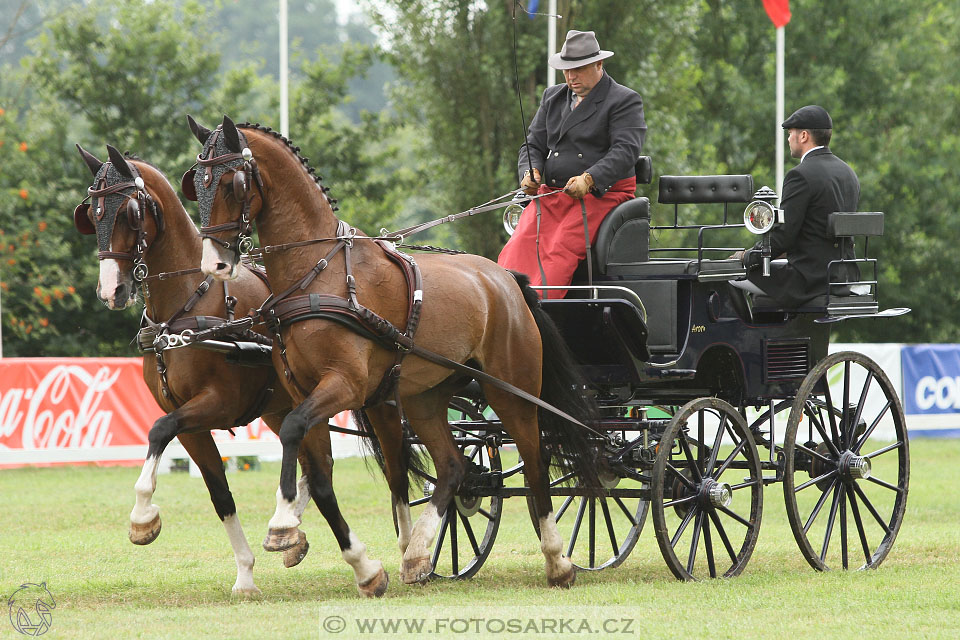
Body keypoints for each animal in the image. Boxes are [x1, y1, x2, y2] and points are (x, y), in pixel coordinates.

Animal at [72, 144, 390, 596]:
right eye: (91, 214)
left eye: (130, 213)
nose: (111, 290)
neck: (187, 306)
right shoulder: (191, 423)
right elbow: (219, 493)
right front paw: (245, 572)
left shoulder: (217, 404)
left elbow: (158, 430)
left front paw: (142, 518)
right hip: (282, 406)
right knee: (315, 466)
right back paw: (290, 530)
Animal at [186, 117, 600, 588]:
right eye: (195, 185)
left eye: (232, 183)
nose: (214, 265)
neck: (318, 272)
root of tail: (506, 278)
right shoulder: (303, 391)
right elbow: (322, 468)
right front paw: (325, 540)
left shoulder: (345, 386)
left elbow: (293, 434)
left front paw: (285, 523)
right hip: (426, 398)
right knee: (453, 466)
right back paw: (418, 552)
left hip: (511, 391)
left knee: (535, 462)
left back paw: (557, 559)